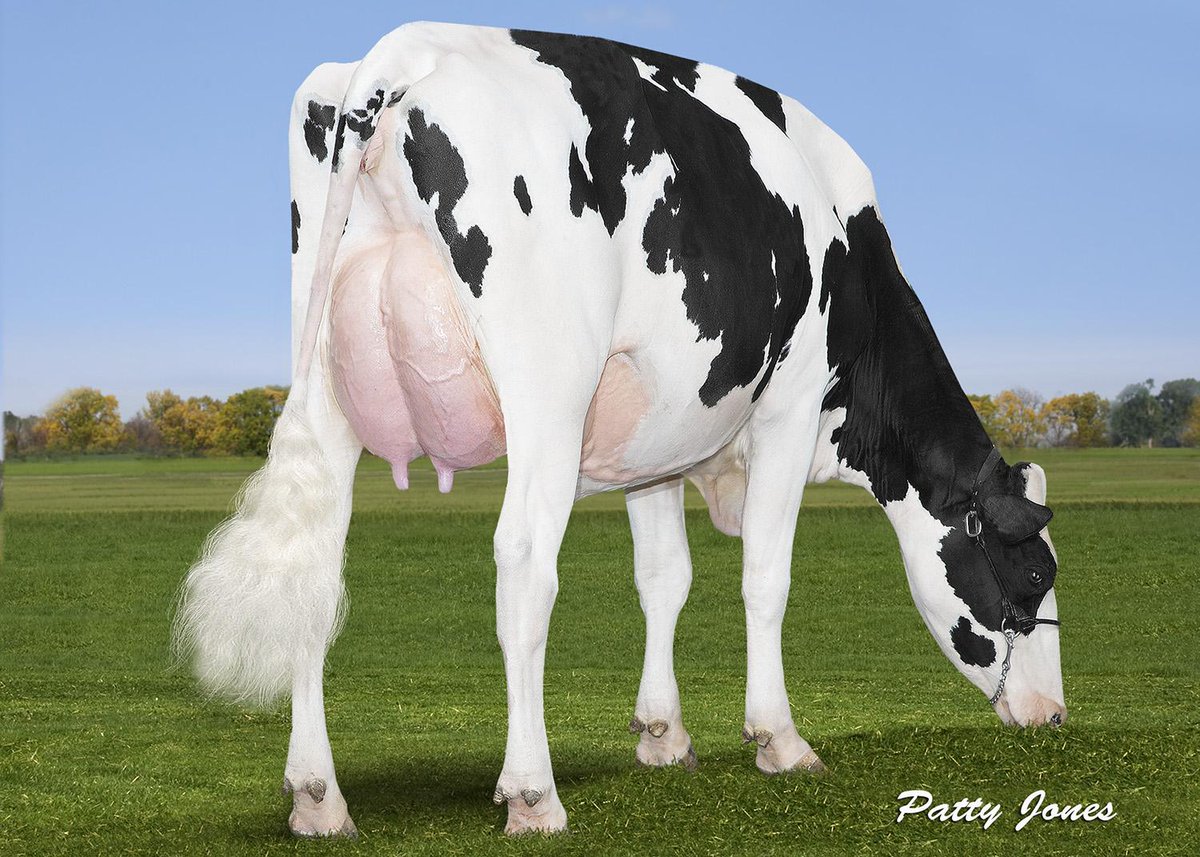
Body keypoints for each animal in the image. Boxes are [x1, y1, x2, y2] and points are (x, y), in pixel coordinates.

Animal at [174, 21, 1066, 838]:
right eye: (1033, 575)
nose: (1054, 715)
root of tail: (398, 54)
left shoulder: (658, 434)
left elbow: (664, 577)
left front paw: (664, 734)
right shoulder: (790, 404)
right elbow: (765, 578)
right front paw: (779, 739)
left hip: (325, 380)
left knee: (313, 572)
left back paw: (318, 797)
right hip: (549, 387)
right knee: (524, 564)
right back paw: (532, 792)